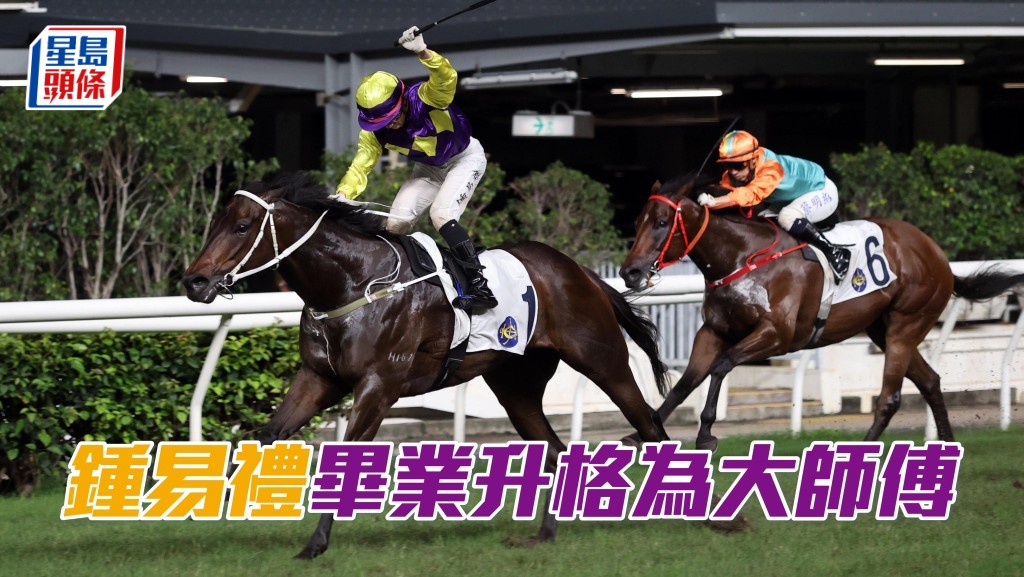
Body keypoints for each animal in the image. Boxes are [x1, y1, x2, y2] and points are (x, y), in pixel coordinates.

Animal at [182, 172, 671, 559]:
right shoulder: (319, 378)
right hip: (516, 385)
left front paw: (316, 544)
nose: (194, 281)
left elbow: (347, 460)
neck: (352, 281)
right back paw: (544, 534)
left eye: (241, 226)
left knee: (649, 425)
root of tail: (580, 271)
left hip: (602, 360)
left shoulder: (378, 384)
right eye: (215, 224)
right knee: (554, 450)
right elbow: (264, 435)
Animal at [618, 173, 1024, 451]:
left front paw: (705, 433)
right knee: (930, 381)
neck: (740, 256)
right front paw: (643, 431)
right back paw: (948, 447)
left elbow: (720, 367)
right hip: (881, 327)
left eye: (661, 223)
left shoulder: (777, 335)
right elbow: (685, 383)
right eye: (637, 221)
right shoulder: (713, 331)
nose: (630, 272)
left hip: (907, 323)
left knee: (890, 397)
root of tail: (939, 256)